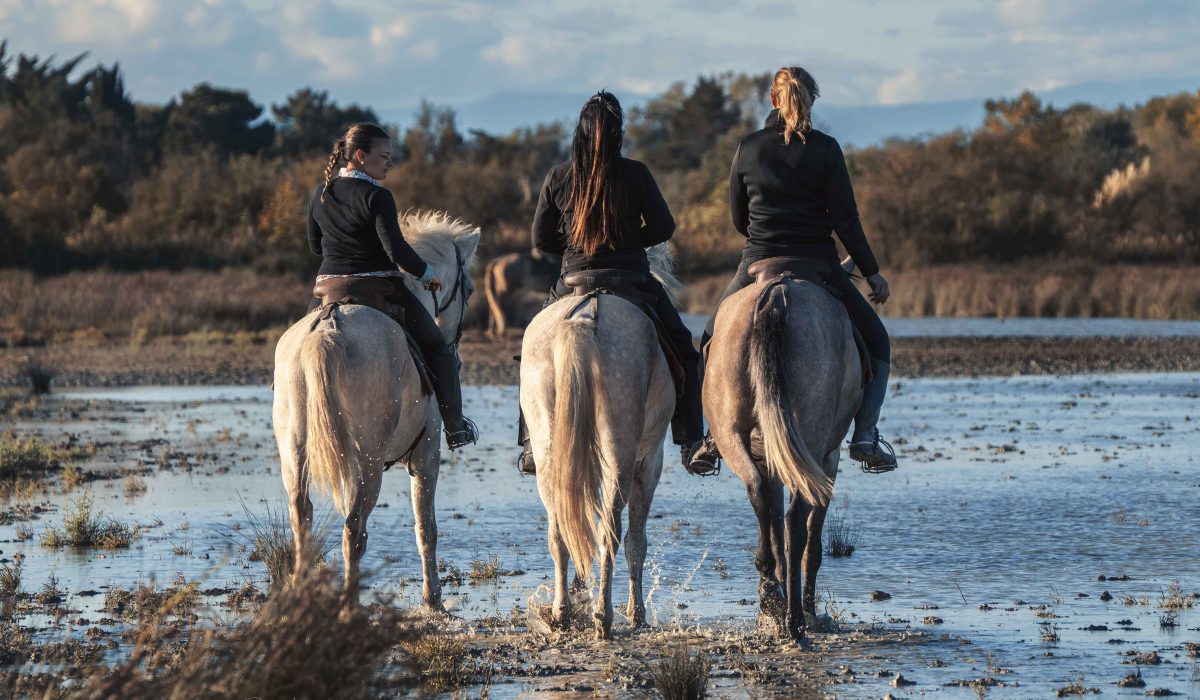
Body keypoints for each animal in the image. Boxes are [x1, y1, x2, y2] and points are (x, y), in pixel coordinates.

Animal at [272, 211, 479, 609]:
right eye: (471, 291)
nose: (457, 350)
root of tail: (325, 334)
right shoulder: (427, 453)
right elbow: (426, 528)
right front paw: (432, 598)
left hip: (294, 452)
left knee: (301, 517)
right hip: (366, 463)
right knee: (354, 529)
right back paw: (349, 607)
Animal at [519, 245, 680, 640]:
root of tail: (583, 319)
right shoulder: (648, 465)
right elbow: (637, 542)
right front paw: (636, 613)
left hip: (551, 456)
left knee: (559, 529)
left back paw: (561, 612)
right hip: (620, 457)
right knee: (611, 531)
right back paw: (603, 617)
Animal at [702, 264, 862, 642]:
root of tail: (776, 294)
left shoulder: (771, 461)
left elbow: (771, 522)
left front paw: (773, 596)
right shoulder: (827, 462)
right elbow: (812, 540)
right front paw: (809, 608)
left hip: (731, 434)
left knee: (759, 496)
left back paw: (772, 598)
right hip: (813, 439)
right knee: (795, 522)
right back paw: (795, 620)